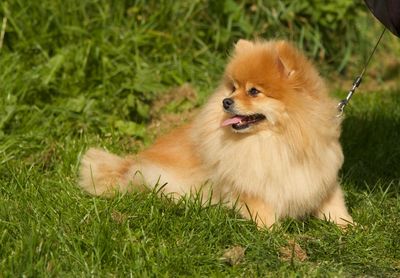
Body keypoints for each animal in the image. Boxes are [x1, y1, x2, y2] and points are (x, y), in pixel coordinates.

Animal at [79, 40, 354, 229]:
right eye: (233, 87)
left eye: (254, 91)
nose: (226, 101)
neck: (278, 142)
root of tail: (127, 166)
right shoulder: (251, 190)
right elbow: (265, 214)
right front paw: (277, 236)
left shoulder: (318, 179)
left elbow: (335, 206)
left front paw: (350, 228)